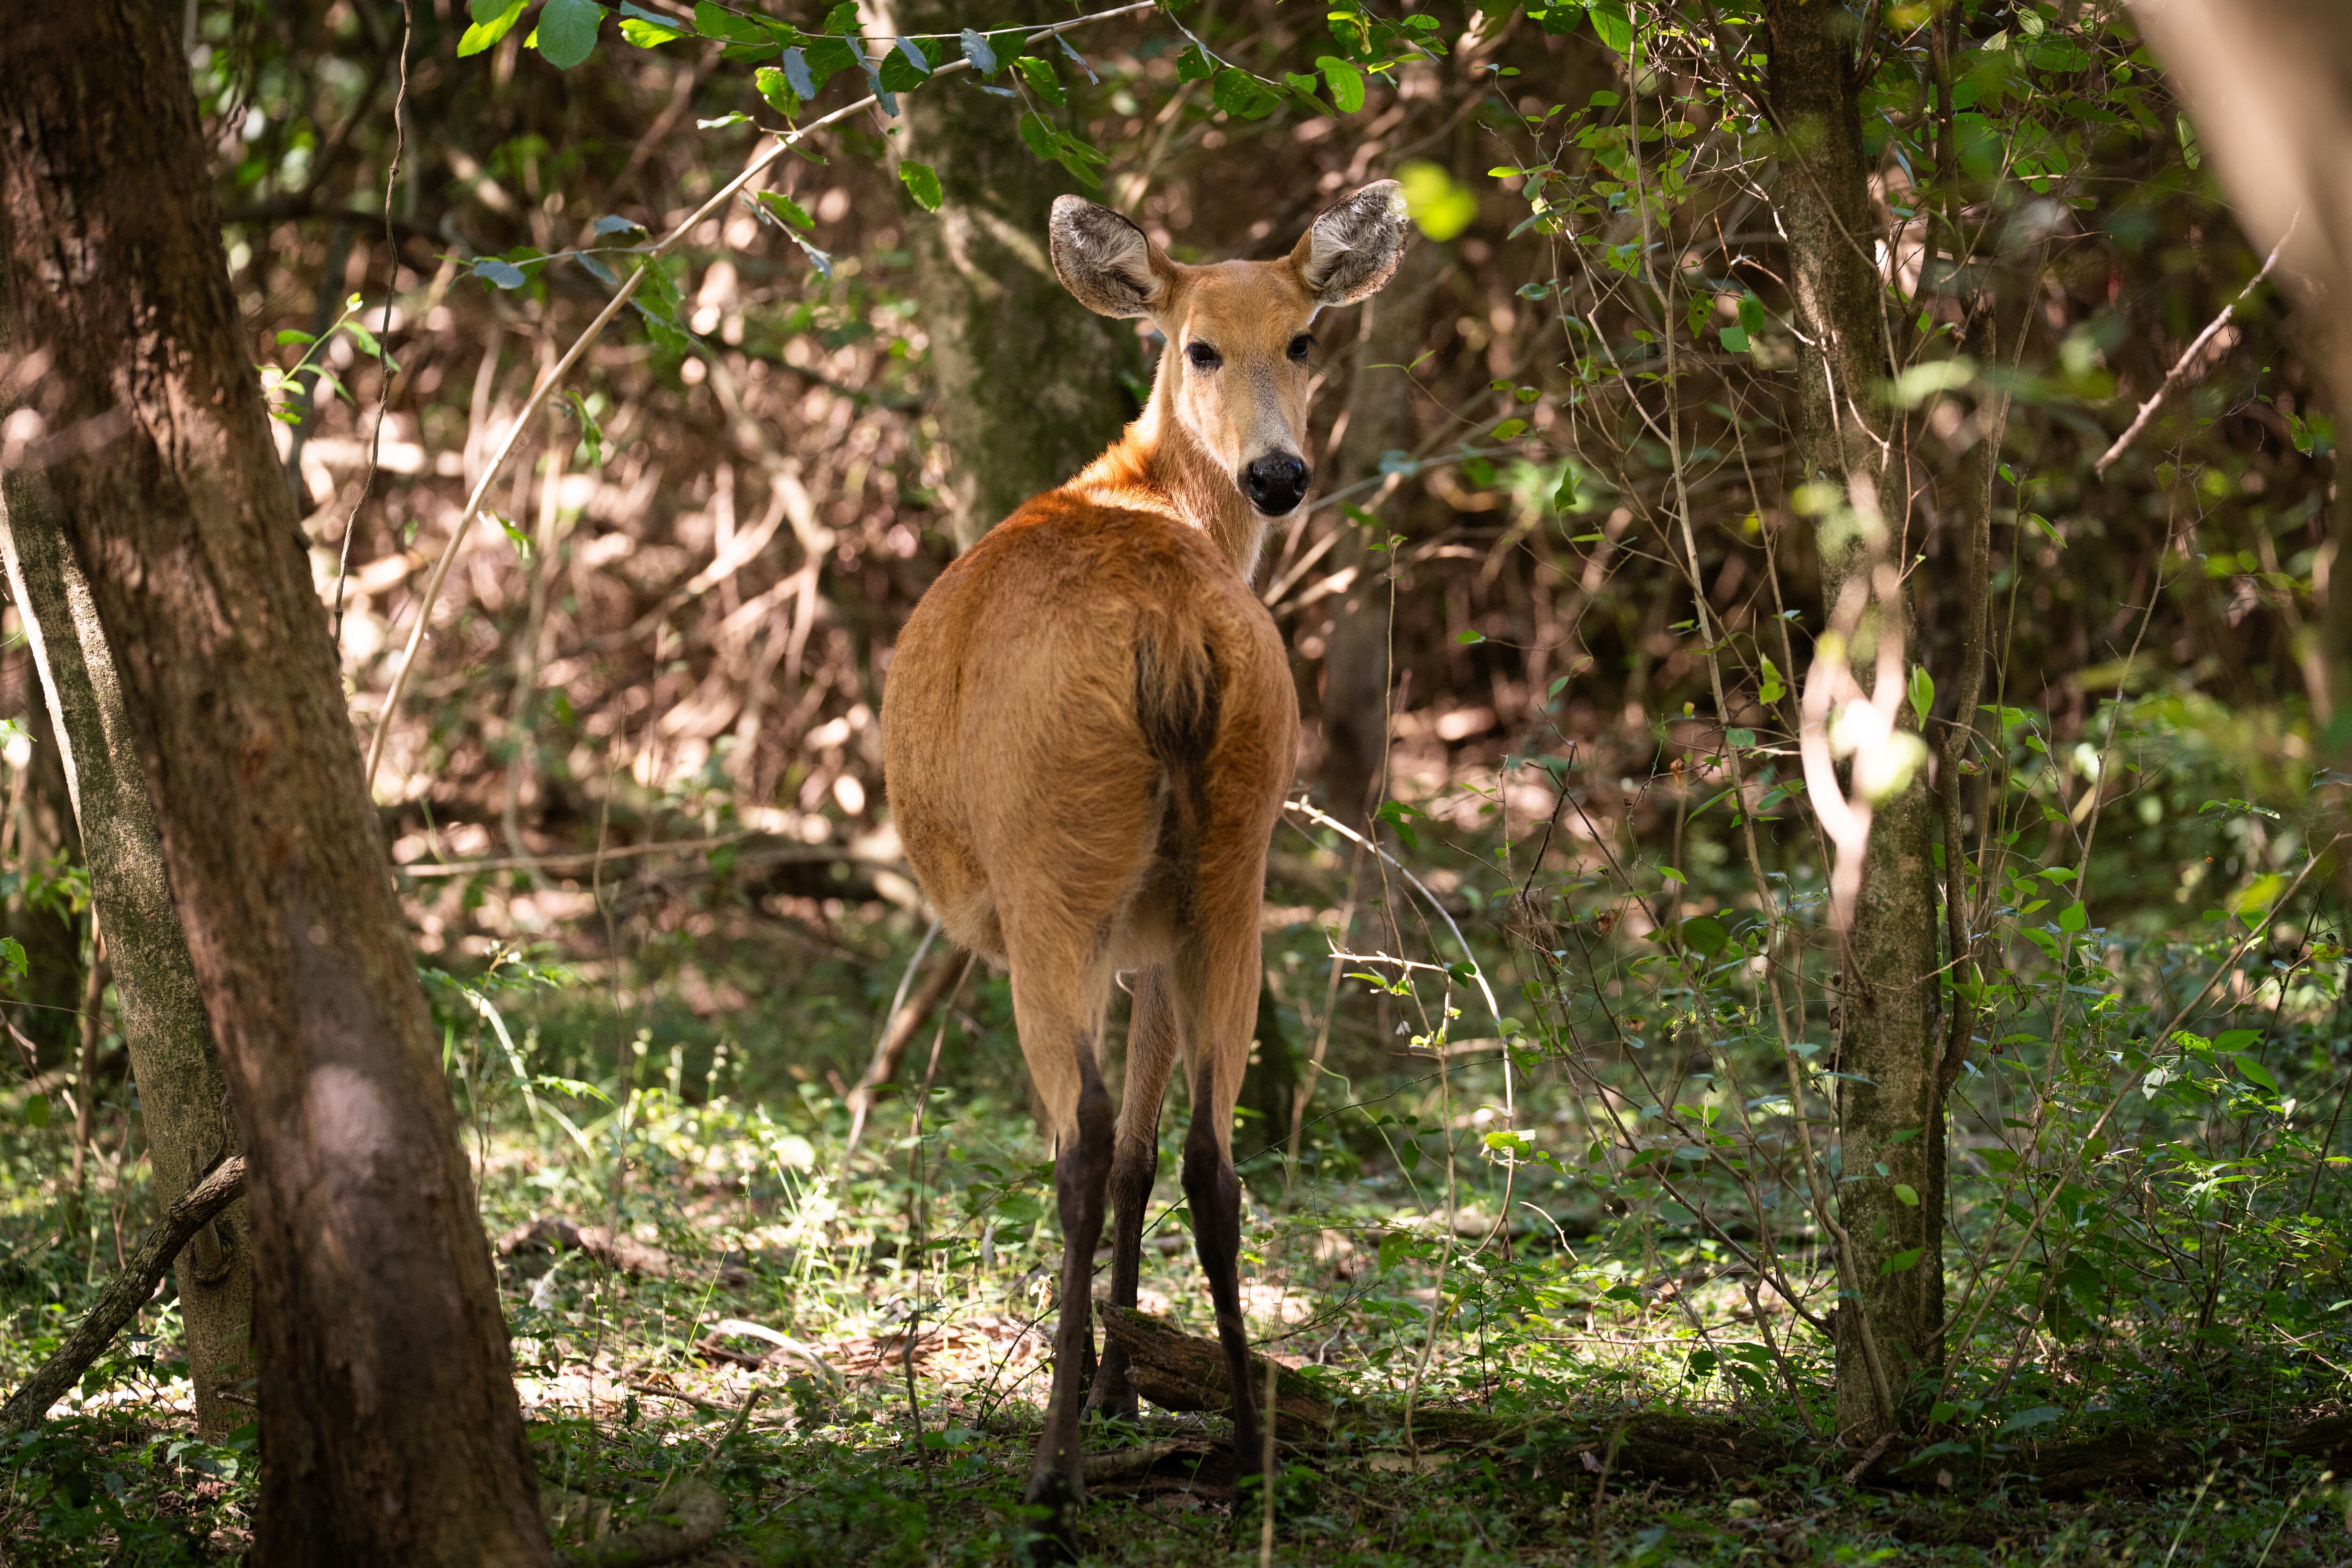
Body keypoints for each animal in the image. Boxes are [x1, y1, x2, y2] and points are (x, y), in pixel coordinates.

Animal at [878, 181, 1409, 1550]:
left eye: (1304, 339)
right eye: (1199, 345)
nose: (1278, 473)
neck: (1143, 493)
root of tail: (1172, 627)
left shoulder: (1106, 928)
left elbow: (1105, 1148)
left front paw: (1102, 1389)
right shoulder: (1159, 930)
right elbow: (1150, 1155)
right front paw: (1129, 1380)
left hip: (1052, 871)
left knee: (1077, 1145)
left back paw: (1053, 1468)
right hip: (1233, 861)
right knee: (1211, 1162)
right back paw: (1251, 1448)